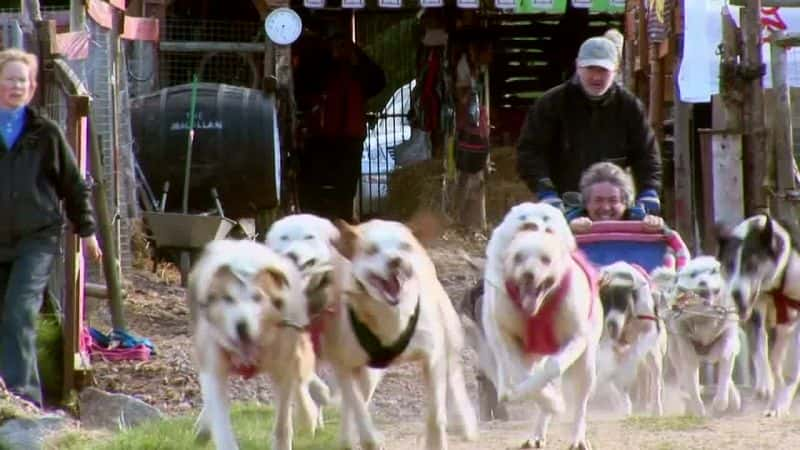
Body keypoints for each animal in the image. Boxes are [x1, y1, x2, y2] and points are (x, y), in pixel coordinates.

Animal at [189, 239, 318, 450]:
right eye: (228, 299)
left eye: (257, 297)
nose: (242, 327)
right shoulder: (212, 367)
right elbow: (221, 422)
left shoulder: (283, 368)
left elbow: (283, 422)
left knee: (300, 384)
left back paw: (308, 417)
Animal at [482, 204, 600, 450]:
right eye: (523, 218)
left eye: (547, 218)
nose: (533, 226)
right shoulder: (507, 339)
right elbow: (522, 380)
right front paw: (546, 400)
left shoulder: (575, 337)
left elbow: (553, 367)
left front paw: (555, 400)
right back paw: (537, 431)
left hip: (586, 366)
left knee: (580, 404)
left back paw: (577, 437)